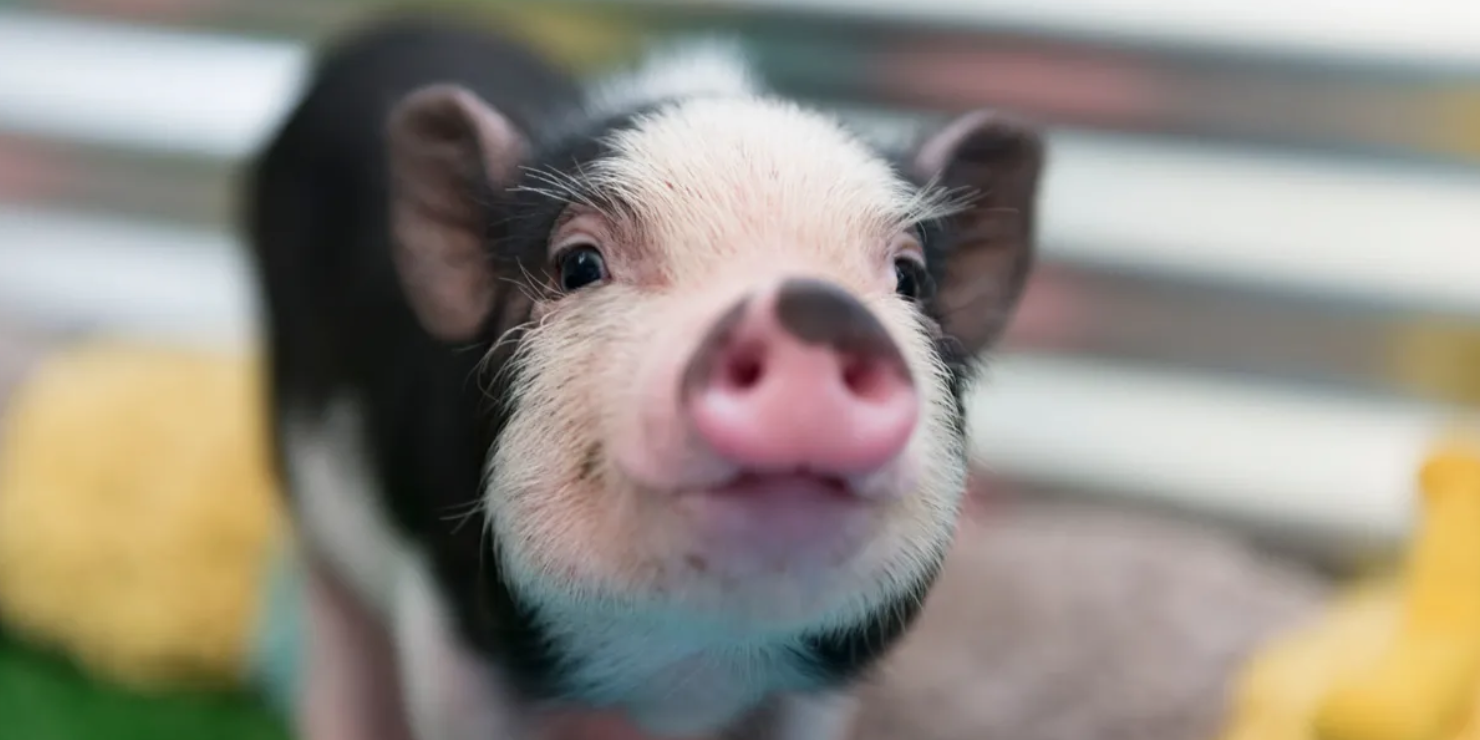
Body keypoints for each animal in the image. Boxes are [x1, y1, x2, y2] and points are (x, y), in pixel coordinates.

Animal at [242, 13, 1044, 740]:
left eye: (909, 278)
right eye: (579, 264)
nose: (813, 309)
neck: (682, 681)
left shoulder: (815, 692)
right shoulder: (451, 638)